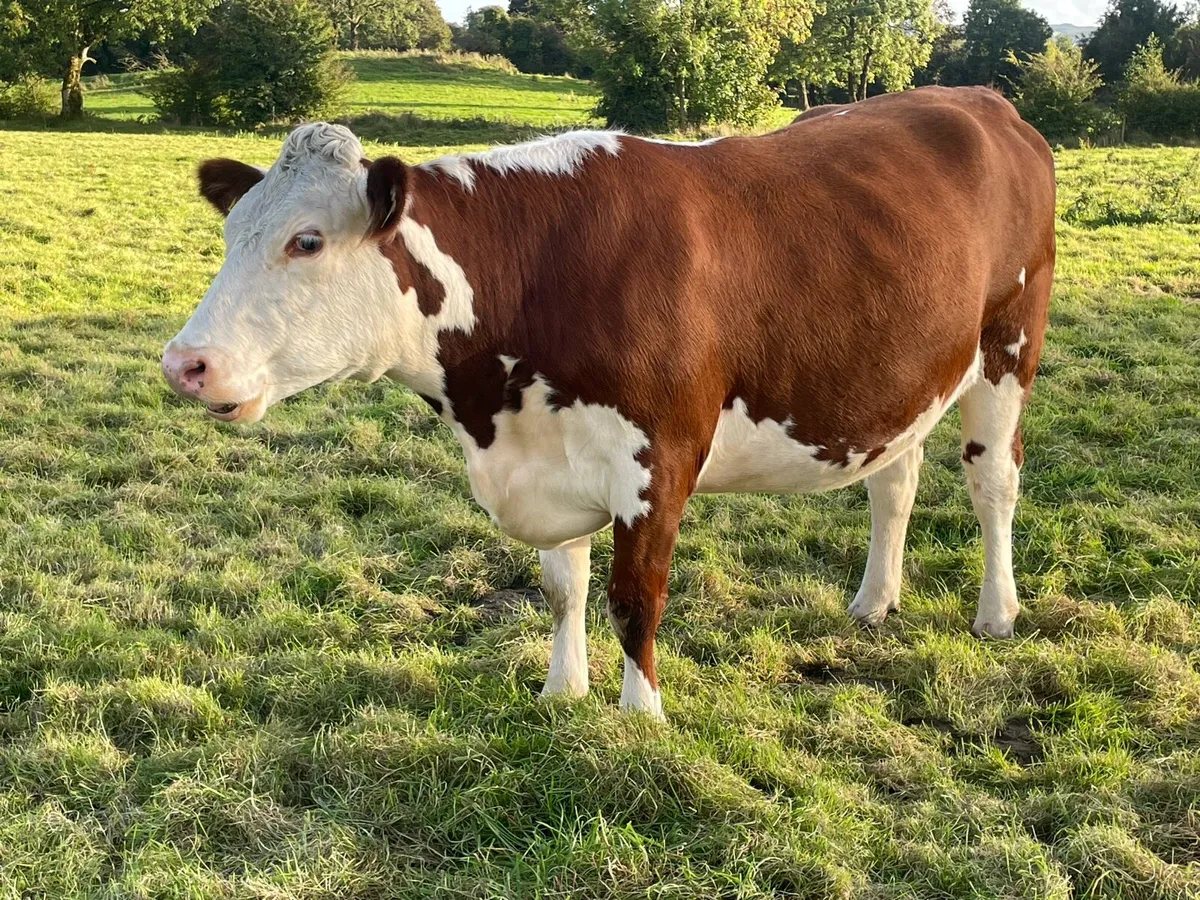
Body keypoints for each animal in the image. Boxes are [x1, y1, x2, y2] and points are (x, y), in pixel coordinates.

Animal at [162, 85, 1056, 720]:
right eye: (230, 232)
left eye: (307, 240)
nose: (183, 364)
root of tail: (982, 99)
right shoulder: (550, 449)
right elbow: (565, 587)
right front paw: (563, 692)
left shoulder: (660, 457)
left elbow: (635, 597)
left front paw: (640, 718)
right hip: (903, 375)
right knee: (893, 480)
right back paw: (873, 602)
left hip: (1008, 349)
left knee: (993, 482)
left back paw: (997, 612)